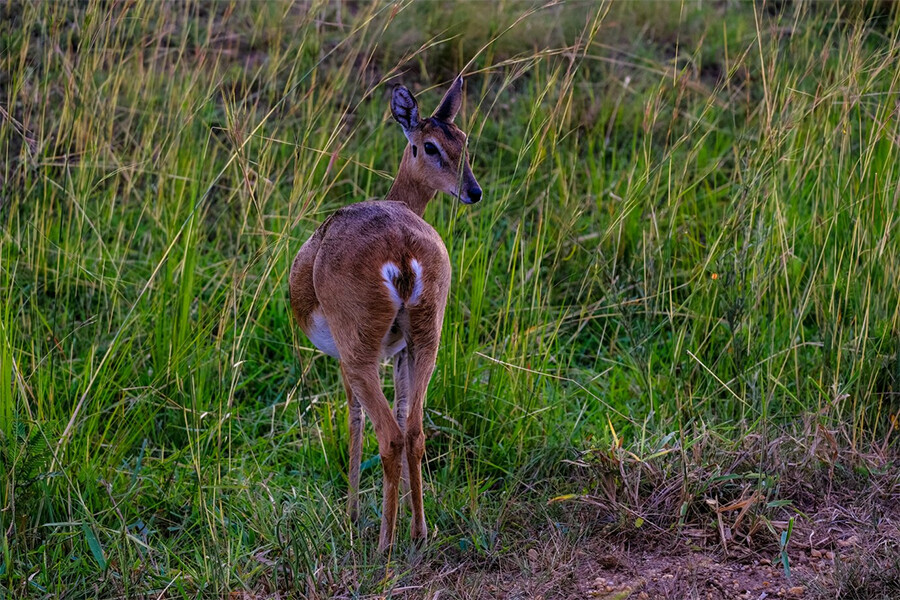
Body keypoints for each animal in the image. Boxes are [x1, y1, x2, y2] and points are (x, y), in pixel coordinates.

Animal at [290, 77, 486, 552]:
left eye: (461, 141)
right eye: (433, 144)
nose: (473, 191)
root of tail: (401, 248)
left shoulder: (347, 361)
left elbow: (353, 419)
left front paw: (350, 514)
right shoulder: (398, 353)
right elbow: (402, 416)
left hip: (361, 354)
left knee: (390, 435)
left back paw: (384, 542)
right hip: (427, 341)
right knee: (414, 431)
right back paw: (418, 531)